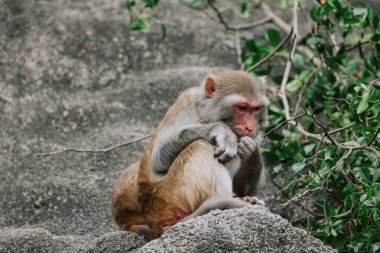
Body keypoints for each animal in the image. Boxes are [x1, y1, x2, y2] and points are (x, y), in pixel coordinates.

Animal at [111, 69, 268, 239]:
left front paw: (252, 156)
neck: (208, 114)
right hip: (170, 197)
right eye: (242, 107)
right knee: (201, 144)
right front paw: (222, 131)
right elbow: (158, 156)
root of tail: (156, 222)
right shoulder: (186, 100)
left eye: (256, 109)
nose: (250, 127)